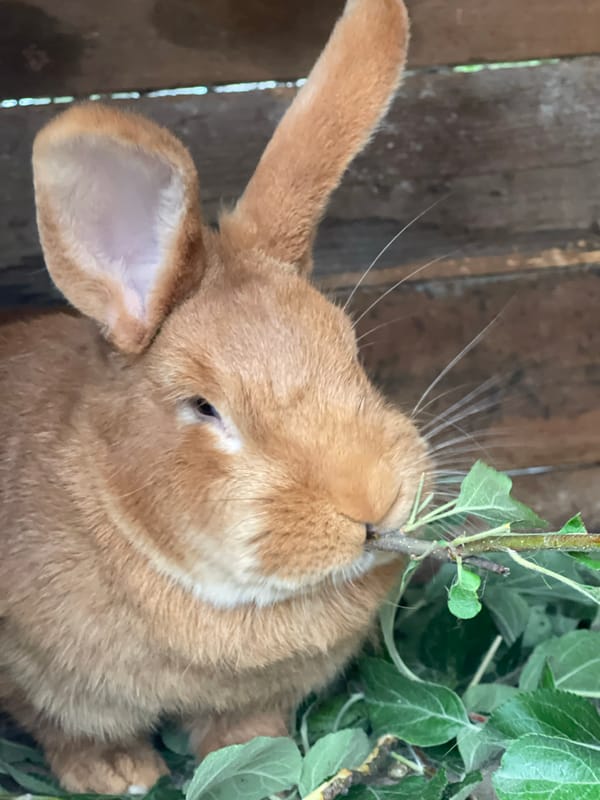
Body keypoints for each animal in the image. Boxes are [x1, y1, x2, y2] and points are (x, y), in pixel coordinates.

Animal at [0, 0, 429, 793]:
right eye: (205, 408)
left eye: (350, 350)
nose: (373, 502)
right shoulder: (38, 678)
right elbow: (71, 730)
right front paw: (119, 775)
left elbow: (240, 729)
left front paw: (251, 756)